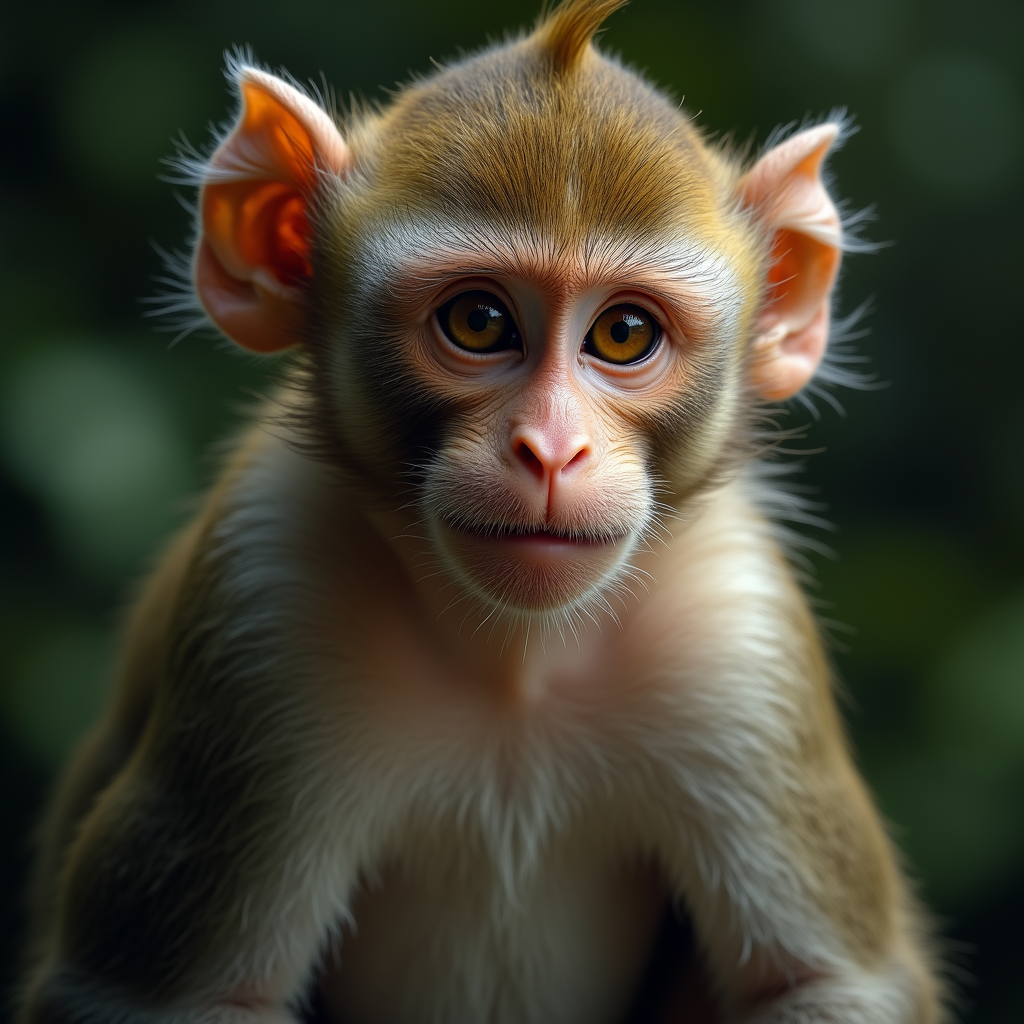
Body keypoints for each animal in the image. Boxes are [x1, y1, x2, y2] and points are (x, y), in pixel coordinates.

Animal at [19, 1, 943, 1022]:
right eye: (479, 322)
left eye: (624, 333)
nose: (550, 450)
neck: (515, 665)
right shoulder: (265, 603)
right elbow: (163, 998)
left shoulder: (737, 640)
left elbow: (822, 983)